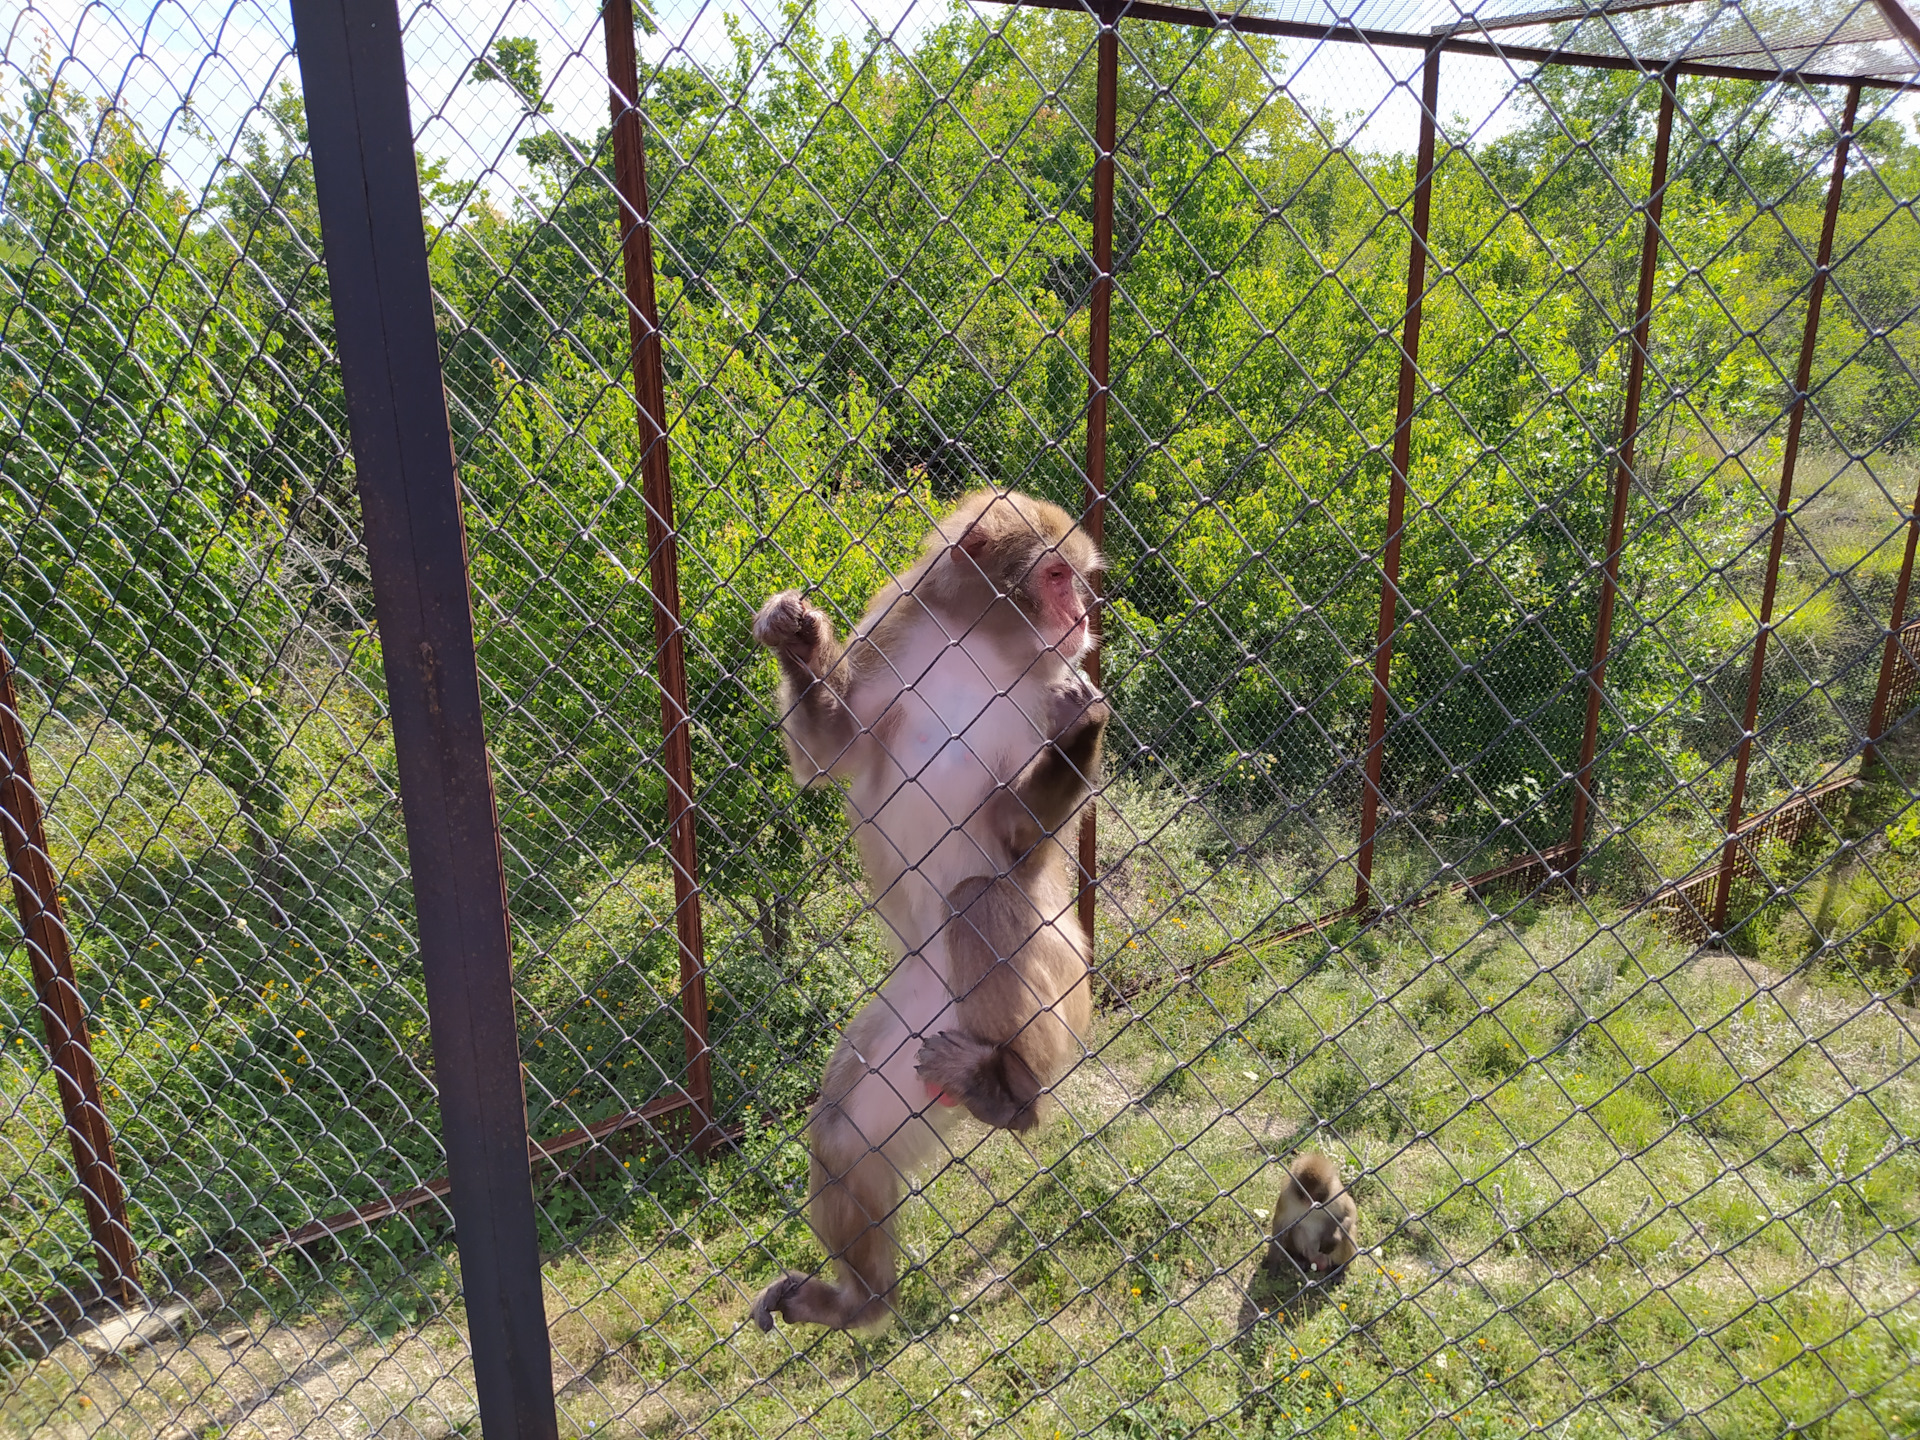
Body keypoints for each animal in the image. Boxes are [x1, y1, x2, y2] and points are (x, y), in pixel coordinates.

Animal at [748, 491, 1113, 1336]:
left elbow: (1016, 837)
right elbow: (835, 752)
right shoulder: (896, 624)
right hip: (917, 1024)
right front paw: (798, 638)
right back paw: (859, 1302)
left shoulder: (1052, 681)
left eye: (1080, 581)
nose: (1083, 614)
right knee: (844, 1130)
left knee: (979, 897)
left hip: (1061, 983)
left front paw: (1081, 731)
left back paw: (1011, 1097)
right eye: (1056, 576)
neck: (983, 644)